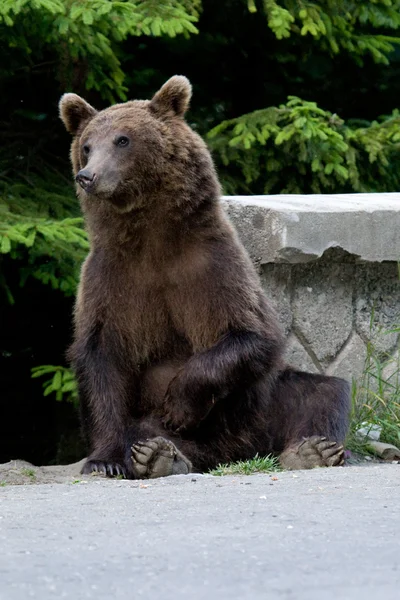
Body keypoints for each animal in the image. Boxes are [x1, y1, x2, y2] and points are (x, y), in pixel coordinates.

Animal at [59, 76, 350, 478]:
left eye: (123, 139)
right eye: (86, 146)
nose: (88, 175)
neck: (152, 239)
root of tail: (239, 451)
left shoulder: (212, 266)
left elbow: (250, 335)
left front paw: (178, 405)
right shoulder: (111, 279)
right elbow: (100, 358)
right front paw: (104, 460)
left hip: (263, 400)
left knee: (321, 392)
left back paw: (312, 450)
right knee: (148, 430)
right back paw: (159, 455)